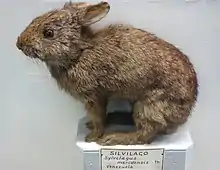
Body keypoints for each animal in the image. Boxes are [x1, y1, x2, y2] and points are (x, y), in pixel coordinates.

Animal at [15, 0, 198, 145]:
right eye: (35, 19)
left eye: (49, 33)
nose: (19, 43)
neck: (78, 54)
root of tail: (185, 114)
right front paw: (89, 126)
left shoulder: (93, 96)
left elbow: (98, 117)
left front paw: (92, 137)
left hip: (149, 106)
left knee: (147, 132)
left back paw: (114, 138)